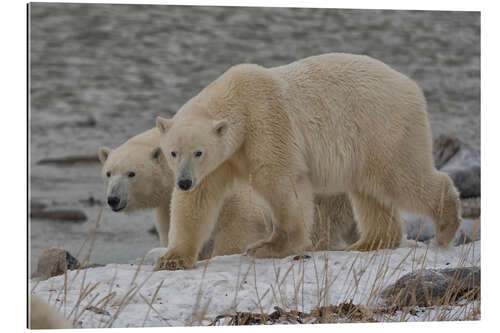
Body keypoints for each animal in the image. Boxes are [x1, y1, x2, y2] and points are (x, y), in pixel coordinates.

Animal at [155, 52, 460, 270]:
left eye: (199, 152)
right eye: (173, 152)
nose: (184, 181)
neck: (239, 101)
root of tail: (411, 85)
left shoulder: (266, 124)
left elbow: (282, 181)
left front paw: (267, 246)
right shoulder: (223, 160)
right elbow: (197, 201)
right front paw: (172, 259)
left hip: (381, 126)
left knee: (400, 177)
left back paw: (445, 226)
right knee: (370, 191)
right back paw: (369, 242)